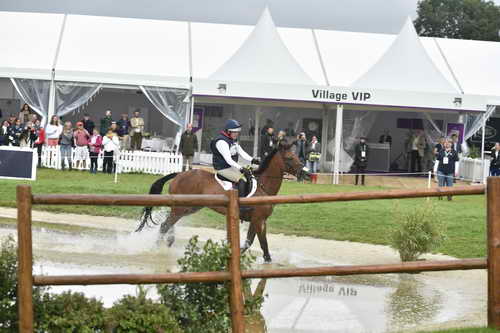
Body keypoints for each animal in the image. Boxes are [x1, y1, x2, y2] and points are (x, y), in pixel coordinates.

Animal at [137, 143, 308, 262]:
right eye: (289, 158)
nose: (305, 174)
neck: (262, 187)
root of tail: (180, 174)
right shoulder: (258, 220)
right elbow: (262, 244)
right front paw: (267, 261)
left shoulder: (258, 221)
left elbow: (249, 242)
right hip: (181, 208)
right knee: (164, 225)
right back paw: (156, 249)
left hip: (188, 208)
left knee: (169, 224)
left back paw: (168, 243)